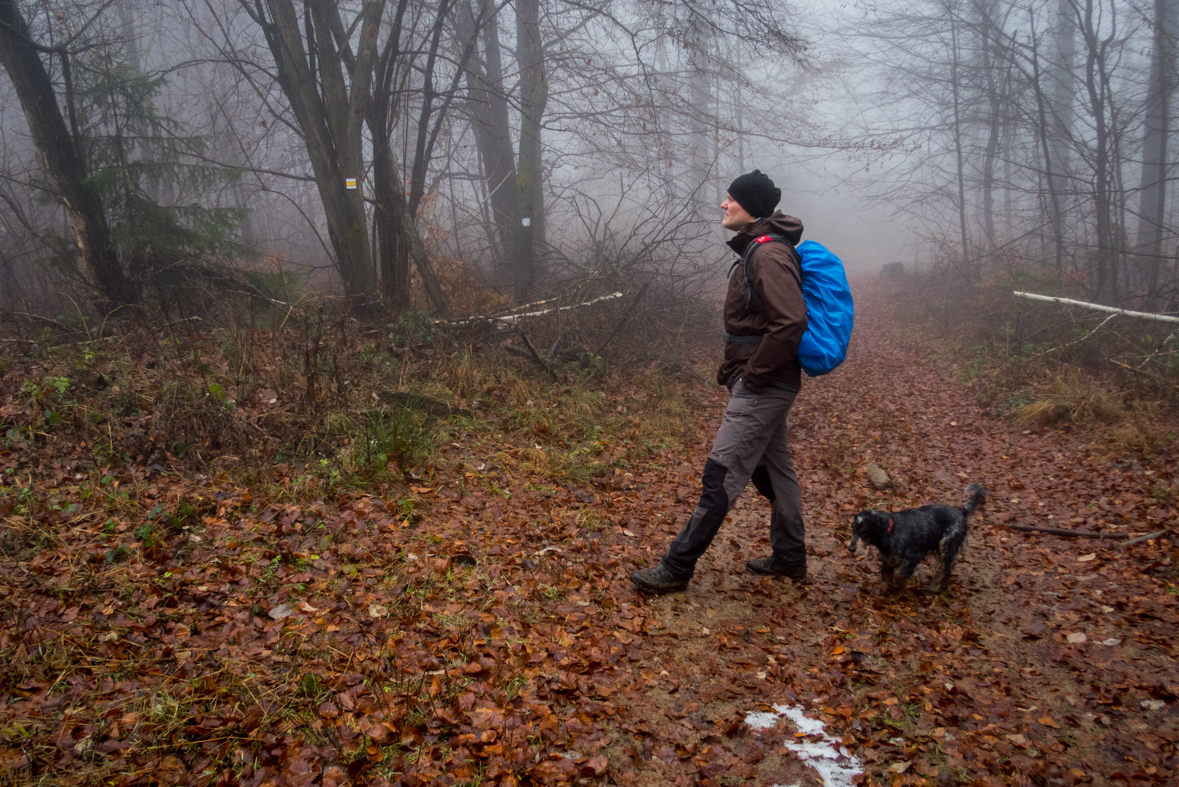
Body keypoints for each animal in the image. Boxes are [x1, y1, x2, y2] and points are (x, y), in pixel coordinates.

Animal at [848, 483, 985, 593]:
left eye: (865, 532)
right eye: (853, 529)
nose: (851, 549)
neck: (891, 531)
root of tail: (961, 512)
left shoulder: (913, 556)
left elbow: (899, 574)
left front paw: (900, 587)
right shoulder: (889, 558)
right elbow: (886, 574)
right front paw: (883, 591)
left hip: (946, 545)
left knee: (946, 569)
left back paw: (934, 588)